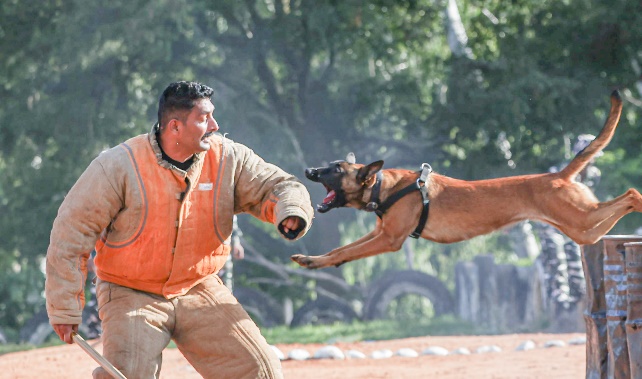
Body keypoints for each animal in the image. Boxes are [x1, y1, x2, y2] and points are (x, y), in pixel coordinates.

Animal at [292, 91, 640, 270]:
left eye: (336, 170)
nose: (308, 171)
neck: (383, 186)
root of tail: (559, 174)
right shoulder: (379, 233)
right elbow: (342, 248)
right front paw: (313, 260)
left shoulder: (389, 240)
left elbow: (347, 251)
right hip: (582, 230)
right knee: (607, 221)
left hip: (579, 218)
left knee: (632, 193)